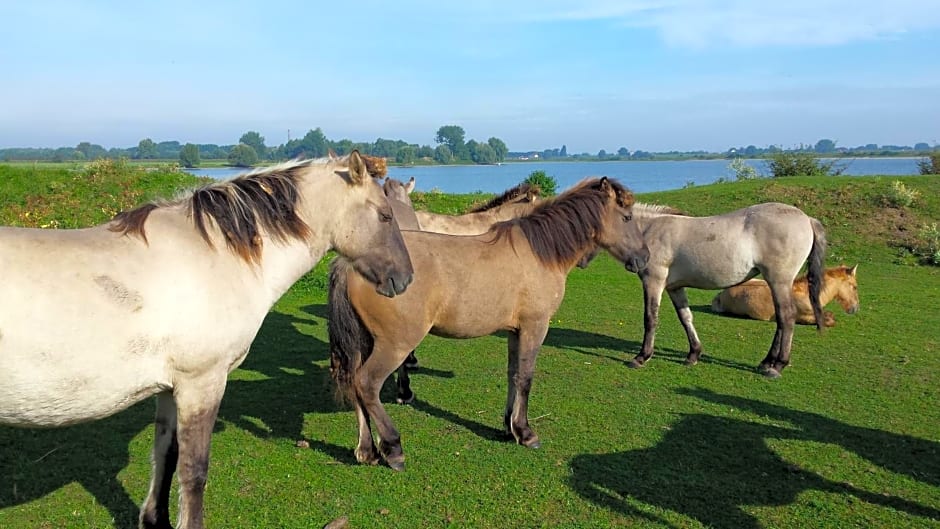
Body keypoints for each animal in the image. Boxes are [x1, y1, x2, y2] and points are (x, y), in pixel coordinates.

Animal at [0, 150, 412, 528]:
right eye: (385, 215)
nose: (405, 277)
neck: (213, 256)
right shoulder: (202, 384)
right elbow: (194, 471)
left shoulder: (170, 389)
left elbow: (166, 457)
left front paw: (155, 519)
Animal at [328, 178, 648, 470]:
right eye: (627, 217)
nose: (643, 259)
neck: (539, 253)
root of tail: (351, 265)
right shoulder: (535, 327)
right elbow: (526, 377)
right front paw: (525, 432)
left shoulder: (515, 332)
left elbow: (513, 374)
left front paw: (509, 426)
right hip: (395, 344)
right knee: (367, 384)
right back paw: (393, 447)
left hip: (365, 342)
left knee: (355, 385)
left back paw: (366, 450)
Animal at [628, 200, 828, 378]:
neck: (650, 229)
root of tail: (807, 219)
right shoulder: (674, 288)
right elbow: (686, 317)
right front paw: (693, 354)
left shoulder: (653, 281)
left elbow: (650, 318)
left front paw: (642, 357)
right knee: (781, 318)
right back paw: (767, 362)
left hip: (780, 281)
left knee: (787, 317)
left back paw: (778, 365)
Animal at [712, 264, 860, 326]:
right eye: (855, 287)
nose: (855, 308)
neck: (805, 294)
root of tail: (721, 294)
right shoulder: (803, 317)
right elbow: (828, 320)